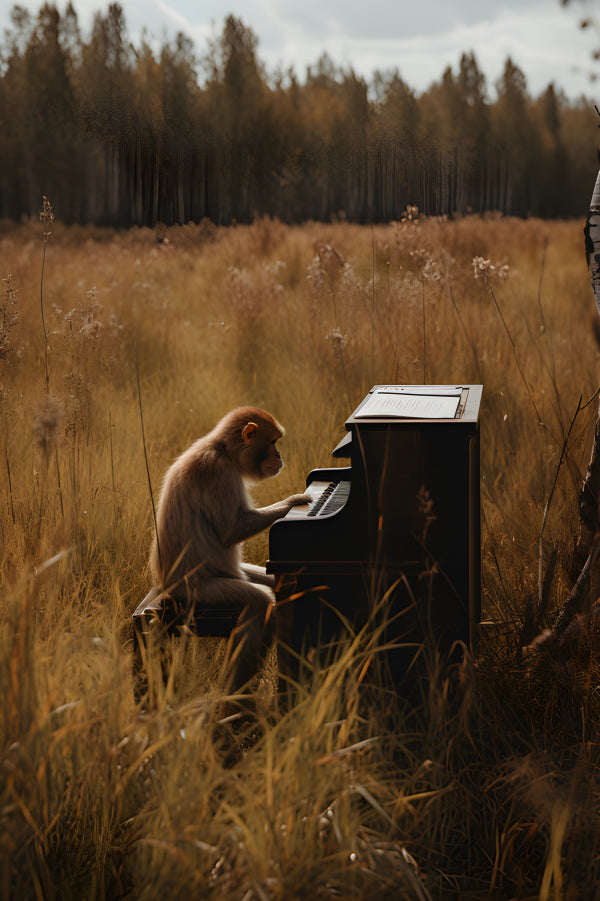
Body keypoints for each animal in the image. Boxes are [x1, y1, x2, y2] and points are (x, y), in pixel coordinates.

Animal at [149, 406, 311, 692]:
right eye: (273, 442)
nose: (279, 456)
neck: (222, 450)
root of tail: (165, 591)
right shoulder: (217, 472)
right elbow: (232, 530)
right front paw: (293, 502)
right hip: (199, 593)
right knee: (260, 603)